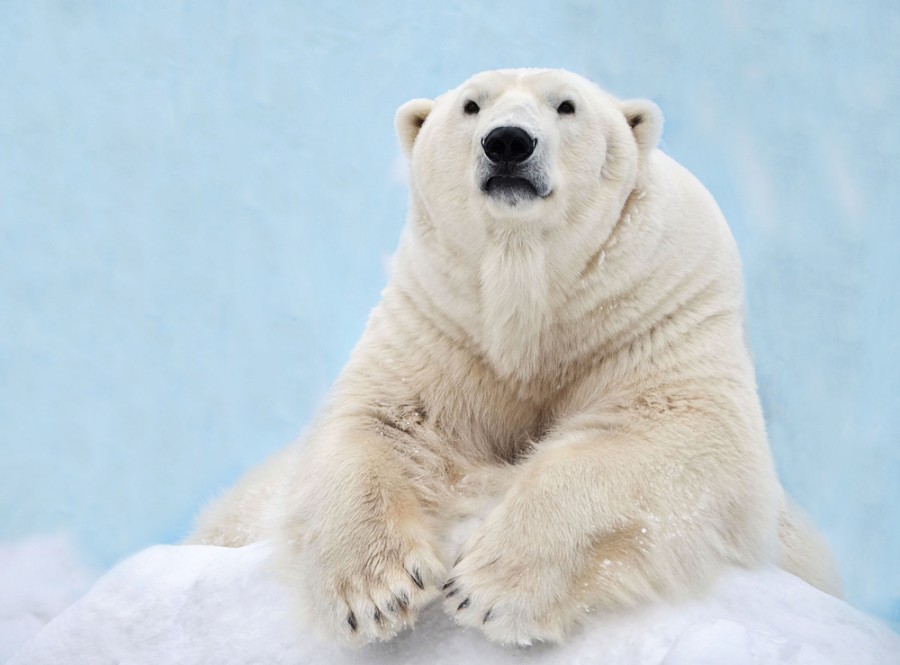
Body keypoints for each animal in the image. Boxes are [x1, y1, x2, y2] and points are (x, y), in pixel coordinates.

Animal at [188, 70, 836, 644]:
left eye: (566, 105)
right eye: (471, 104)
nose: (507, 142)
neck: (531, 288)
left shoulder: (657, 306)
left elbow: (674, 428)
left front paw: (489, 589)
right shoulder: (442, 319)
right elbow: (381, 422)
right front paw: (378, 592)